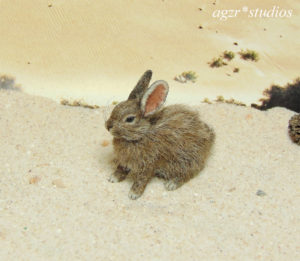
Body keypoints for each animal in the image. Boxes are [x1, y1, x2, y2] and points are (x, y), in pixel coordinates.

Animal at [104, 70, 214, 198]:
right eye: (115, 108)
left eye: (130, 119)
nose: (108, 126)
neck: (141, 135)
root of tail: (210, 137)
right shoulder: (124, 162)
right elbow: (121, 169)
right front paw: (113, 178)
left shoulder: (148, 164)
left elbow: (142, 179)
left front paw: (134, 194)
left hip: (187, 160)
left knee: (190, 173)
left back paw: (172, 184)